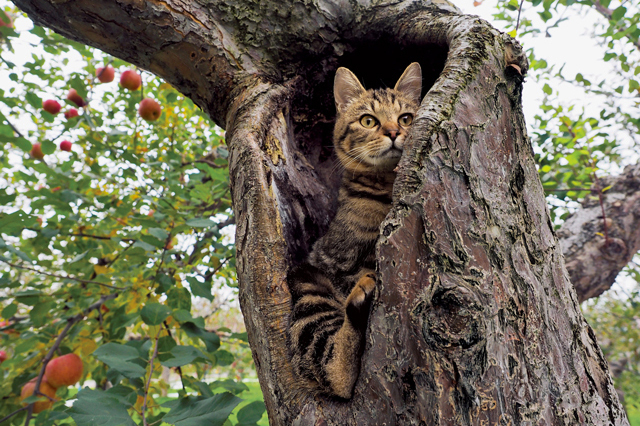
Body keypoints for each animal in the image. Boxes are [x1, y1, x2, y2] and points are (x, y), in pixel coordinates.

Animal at [288, 63, 422, 400]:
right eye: (368, 120)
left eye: (406, 118)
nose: (394, 132)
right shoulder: (338, 259)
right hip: (307, 286)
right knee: (333, 370)